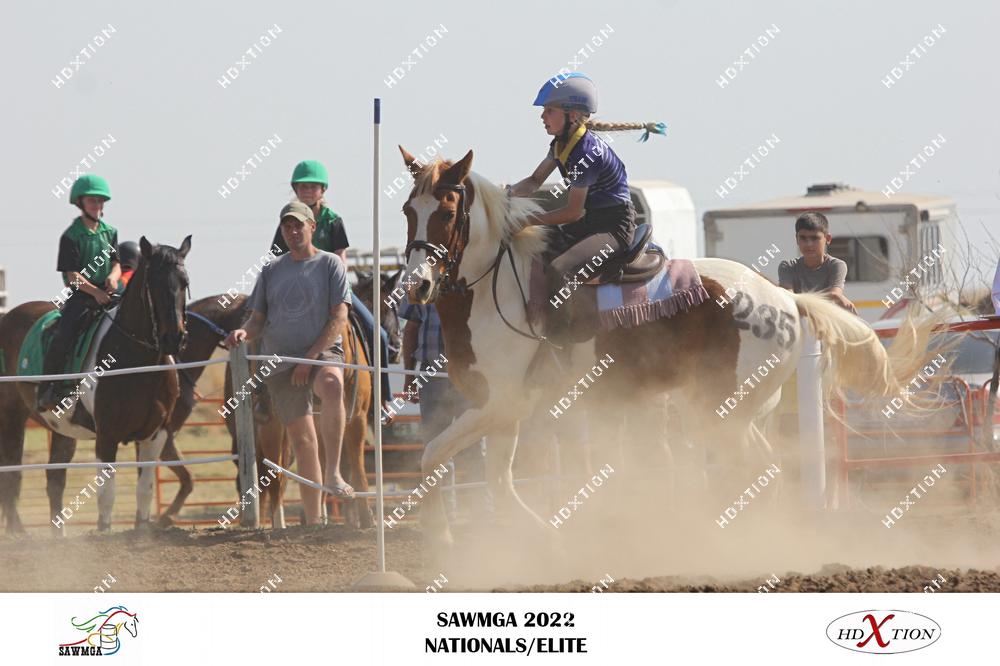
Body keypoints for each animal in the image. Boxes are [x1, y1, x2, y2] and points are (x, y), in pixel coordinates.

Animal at [0, 236, 191, 533]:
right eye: (154, 283)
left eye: (184, 282)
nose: (174, 338)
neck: (138, 362)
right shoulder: (107, 434)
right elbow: (106, 494)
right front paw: (103, 532)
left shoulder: (155, 434)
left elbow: (144, 490)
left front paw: (142, 532)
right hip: (11, 416)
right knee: (10, 474)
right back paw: (19, 531)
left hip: (62, 430)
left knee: (54, 480)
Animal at [395, 147, 933, 555]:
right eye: (407, 211)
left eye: (447, 211)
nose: (417, 286)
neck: (496, 290)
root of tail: (785, 300)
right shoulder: (503, 411)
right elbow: (493, 480)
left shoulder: (503, 403)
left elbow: (433, 455)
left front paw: (442, 535)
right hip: (738, 414)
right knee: (761, 474)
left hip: (718, 413)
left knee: (758, 473)